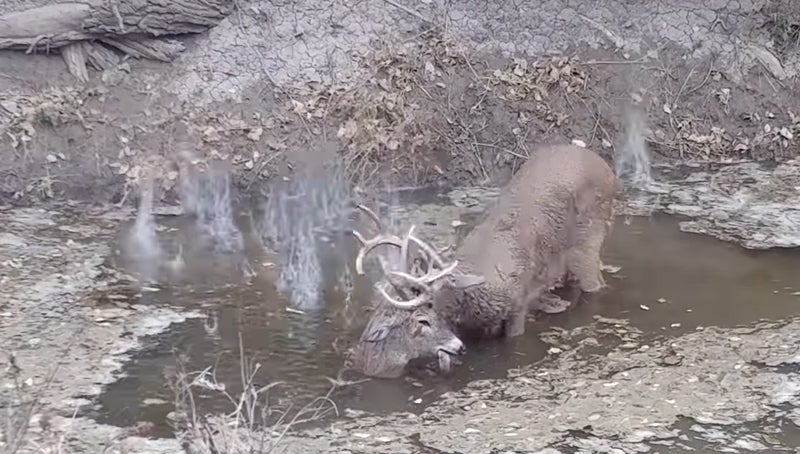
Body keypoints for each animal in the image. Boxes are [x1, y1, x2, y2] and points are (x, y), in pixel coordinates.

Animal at [344, 144, 620, 378]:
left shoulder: (518, 305)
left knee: (596, 283)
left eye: (423, 318)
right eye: (378, 308)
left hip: (588, 239)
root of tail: (607, 170)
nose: (363, 354)